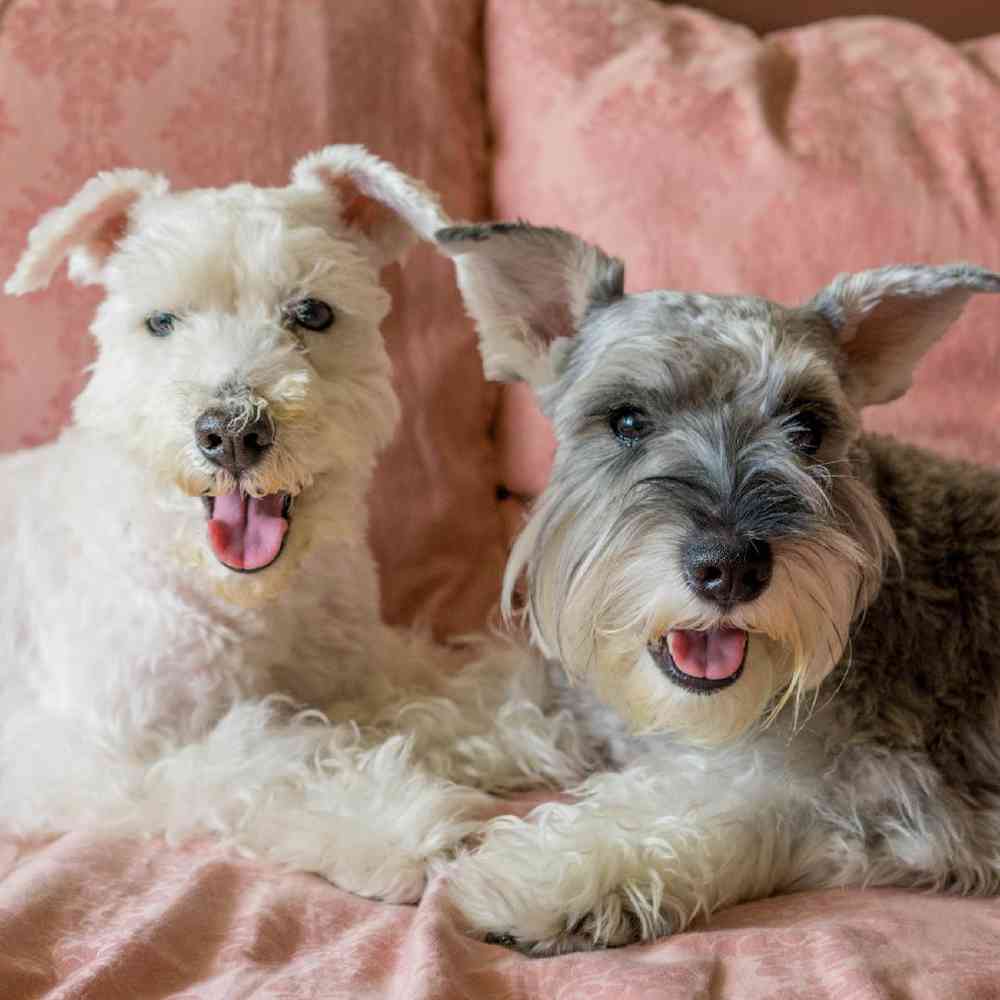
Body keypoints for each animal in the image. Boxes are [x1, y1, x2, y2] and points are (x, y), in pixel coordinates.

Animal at [0, 152, 584, 904]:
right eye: (159, 321)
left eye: (313, 312)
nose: (230, 432)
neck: (248, 600)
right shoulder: (106, 754)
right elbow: (272, 761)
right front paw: (392, 824)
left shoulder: (359, 661)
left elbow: (428, 694)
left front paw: (521, 722)